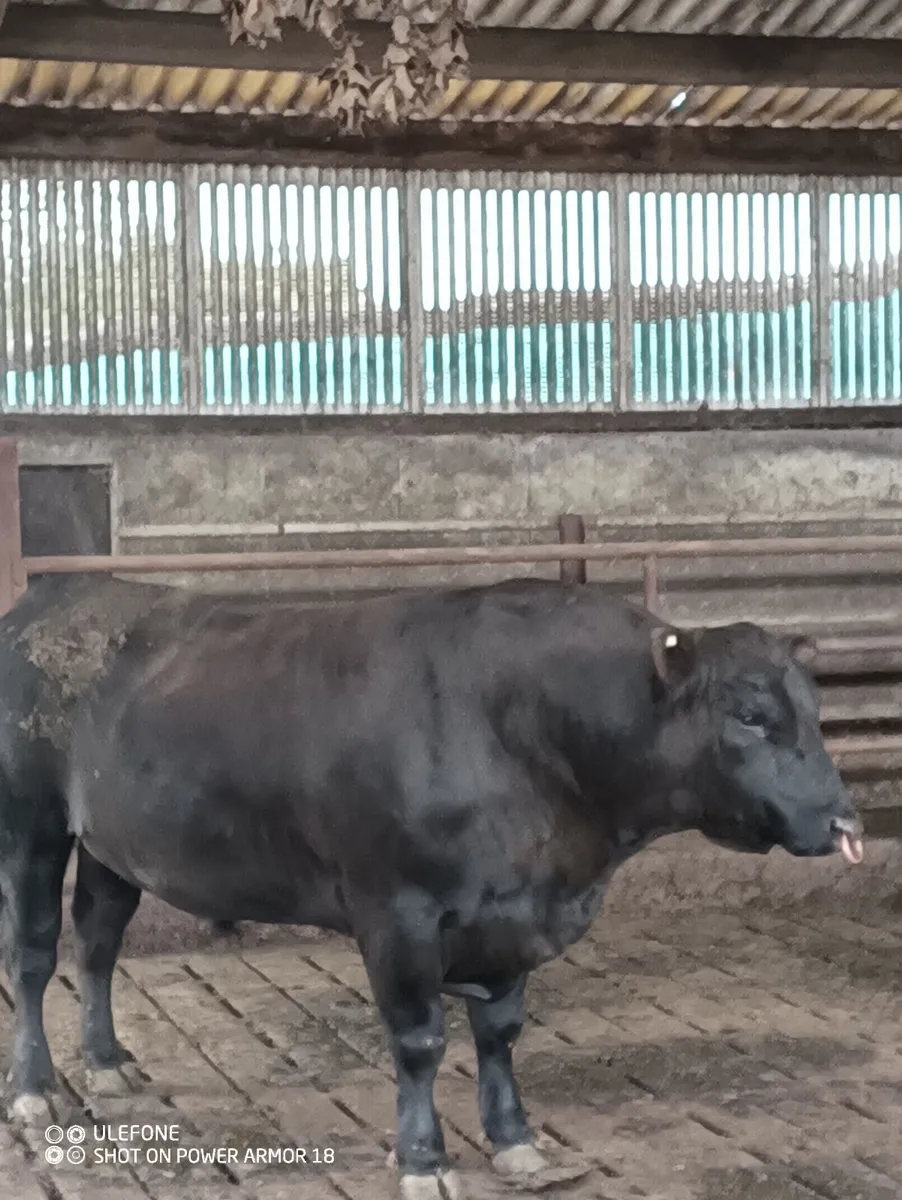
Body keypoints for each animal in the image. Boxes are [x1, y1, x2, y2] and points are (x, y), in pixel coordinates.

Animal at [4, 574, 863, 1199]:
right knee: (34, 956)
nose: (843, 820)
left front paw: (515, 1141)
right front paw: (424, 1159)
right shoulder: (399, 912)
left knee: (98, 939)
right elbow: (419, 1041)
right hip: (32, 824)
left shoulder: (512, 912)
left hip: (112, 844)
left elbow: (501, 1032)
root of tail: (59, 591)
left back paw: (106, 1063)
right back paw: (35, 1088)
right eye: (749, 713)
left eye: (815, 708)